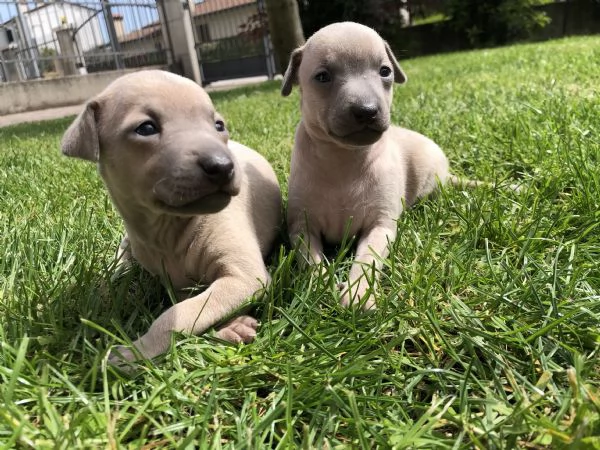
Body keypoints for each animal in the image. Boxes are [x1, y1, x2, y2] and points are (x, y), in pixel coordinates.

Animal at [62, 71, 282, 366]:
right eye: (146, 128)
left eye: (218, 125)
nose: (223, 166)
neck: (167, 230)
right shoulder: (176, 283)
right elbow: (191, 307)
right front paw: (230, 327)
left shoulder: (244, 277)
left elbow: (180, 314)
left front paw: (133, 354)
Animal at [282, 22, 450, 310]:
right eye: (323, 77)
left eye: (385, 72)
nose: (367, 110)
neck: (344, 158)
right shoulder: (302, 227)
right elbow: (310, 259)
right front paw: (321, 286)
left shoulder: (380, 226)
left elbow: (368, 258)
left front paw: (358, 293)